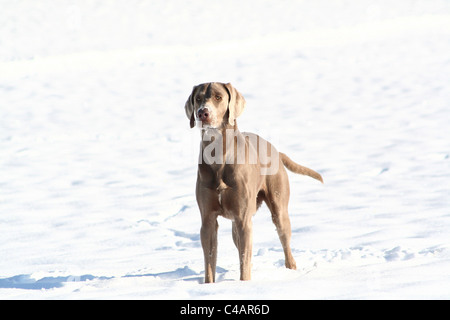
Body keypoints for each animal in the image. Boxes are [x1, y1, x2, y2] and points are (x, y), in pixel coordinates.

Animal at [185, 82, 322, 282]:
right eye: (198, 98)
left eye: (218, 97)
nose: (203, 113)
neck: (218, 156)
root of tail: (276, 151)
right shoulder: (208, 220)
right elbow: (210, 263)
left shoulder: (243, 219)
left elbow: (244, 260)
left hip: (278, 209)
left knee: (285, 244)